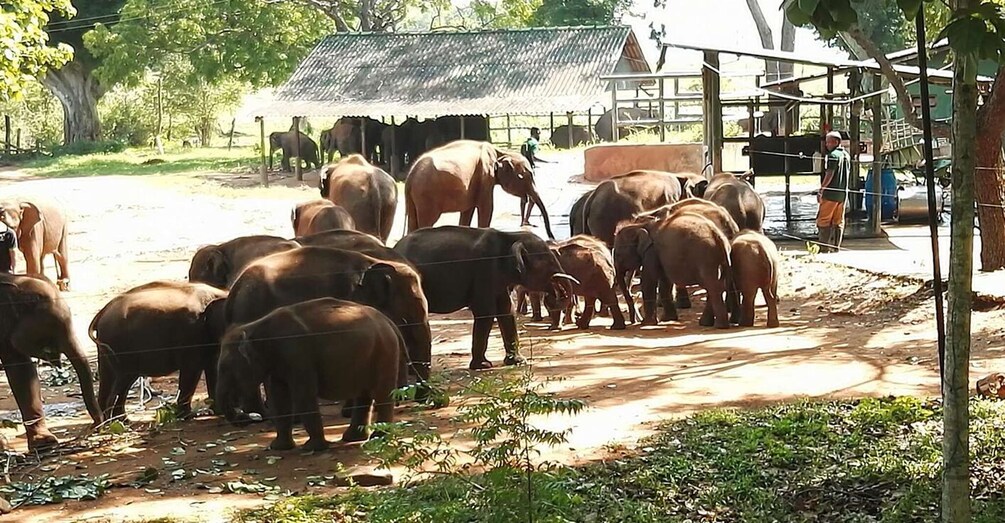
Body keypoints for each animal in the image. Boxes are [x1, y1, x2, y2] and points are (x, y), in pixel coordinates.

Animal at [90, 281, 228, 420]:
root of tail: (102, 312)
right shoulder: (193, 333)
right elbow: (192, 370)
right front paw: (189, 415)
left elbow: (212, 368)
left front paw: (217, 411)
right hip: (119, 344)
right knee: (122, 379)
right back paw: (111, 421)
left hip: (109, 344)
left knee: (113, 379)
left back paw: (117, 420)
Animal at [217, 297, 405, 449]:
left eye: (225, 368)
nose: (244, 418)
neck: (255, 327)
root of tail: (388, 321)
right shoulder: (278, 363)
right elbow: (280, 398)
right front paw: (278, 447)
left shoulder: (297, 354)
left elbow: (303, 395)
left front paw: (313, 447)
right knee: (364, 395)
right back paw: (353, 438)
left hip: (385, 352)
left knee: (382, 394)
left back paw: (378, 437)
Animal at [393, 226, 577, 369]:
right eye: (548, 262)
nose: (553, 295)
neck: (511, 236)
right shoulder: (484, 271)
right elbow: (486, 312)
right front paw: (482, 365)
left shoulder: (498, 279)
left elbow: (506, 310)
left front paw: (518, 361)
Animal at [404, 140, 555, 240]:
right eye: (523, 177)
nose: (551, 237)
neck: (499, 152)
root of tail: (410, 175)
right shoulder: (485, 176)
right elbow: (487, 208)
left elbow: (467, 211)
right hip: (426, 197)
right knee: (426, 222)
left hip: (414, 198)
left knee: (412, 222)